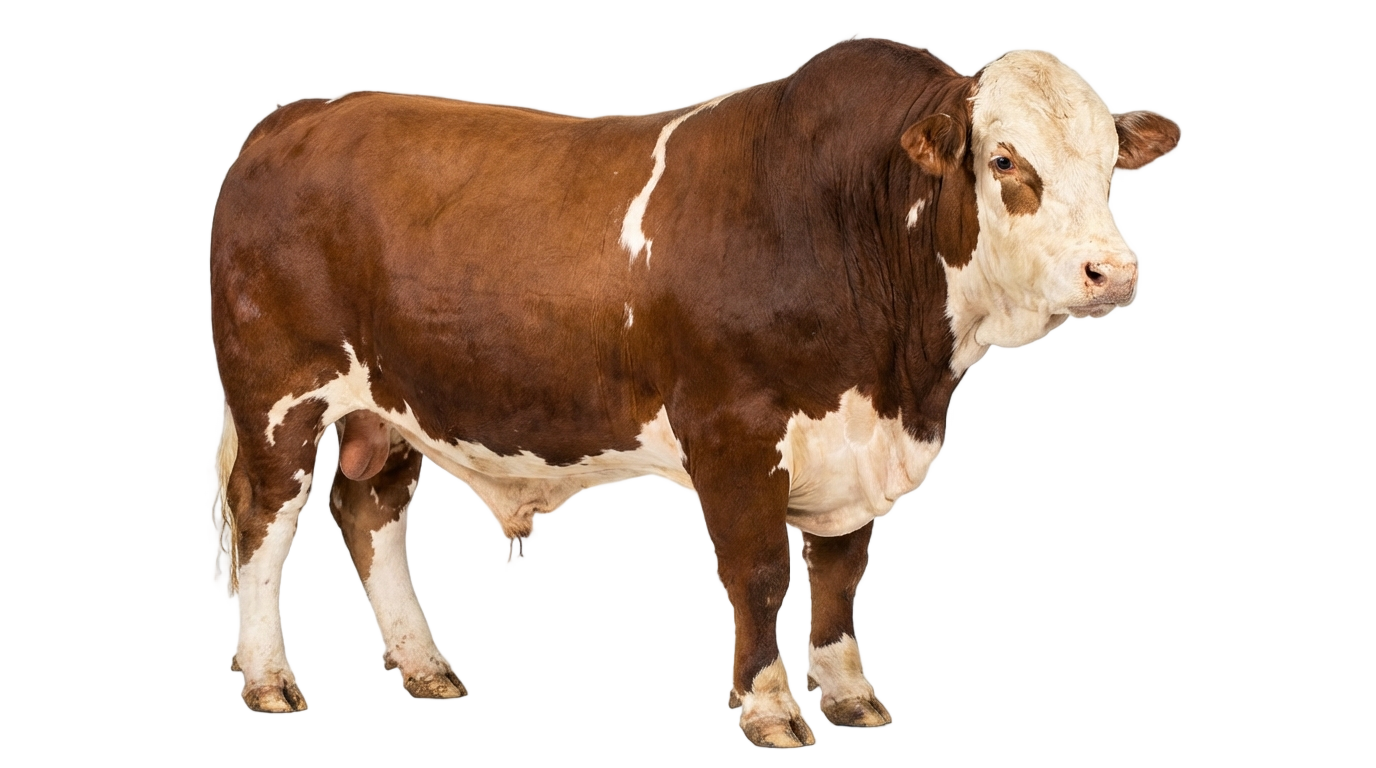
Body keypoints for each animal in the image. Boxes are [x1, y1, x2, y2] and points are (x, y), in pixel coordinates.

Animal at [206, 38, 1177, 747]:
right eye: (1005, 159)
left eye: (1108, 160)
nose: (1113, 273)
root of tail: (299, 118)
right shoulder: (734, 434)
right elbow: (757, 573)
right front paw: (769, 710)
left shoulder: (852, 444)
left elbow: (841, 572)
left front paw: (848, 697)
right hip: (277, 394)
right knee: (262, 516)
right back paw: (267, 680)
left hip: (392, 406)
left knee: (367, 507)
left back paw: (422, 667)